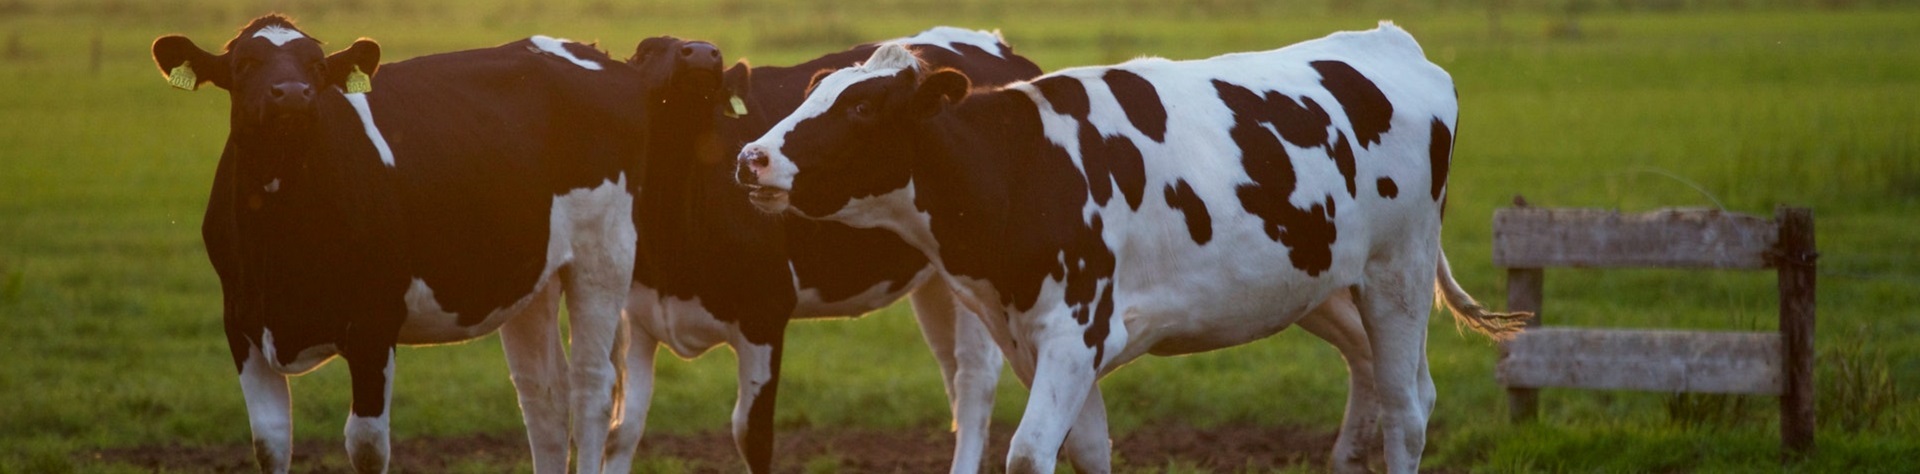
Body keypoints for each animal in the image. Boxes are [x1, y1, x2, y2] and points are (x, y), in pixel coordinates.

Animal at [150, 15, 723, 473]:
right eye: (245, 63)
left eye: (316, 66)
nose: (291, 93)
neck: (282, 234)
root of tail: (597, 55)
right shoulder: (243, 326)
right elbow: (270, 443)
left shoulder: (373, 326)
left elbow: (366, 445)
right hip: (531, 277)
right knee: (543, 397)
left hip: (603, 254)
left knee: (591, 390)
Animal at [601, 28, 1041, 474]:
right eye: (646, 51)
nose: (704, 54)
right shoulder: (637, 316)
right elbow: (623, 429)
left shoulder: (764, 313)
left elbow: (752, 435)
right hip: (938, 280)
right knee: (952, 372)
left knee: (974, 380)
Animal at [734, 22, 1530, 473]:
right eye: (813, 90)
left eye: (863, 107)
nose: (751, 158)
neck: (1023, 169)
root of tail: (1390, 40)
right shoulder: (1040, 343)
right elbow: (1085, 451)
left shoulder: (1075, 330)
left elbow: (1029, 454)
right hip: (1319, 282)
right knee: (1385, 380)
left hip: (1398, 273)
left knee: (1407, 410)